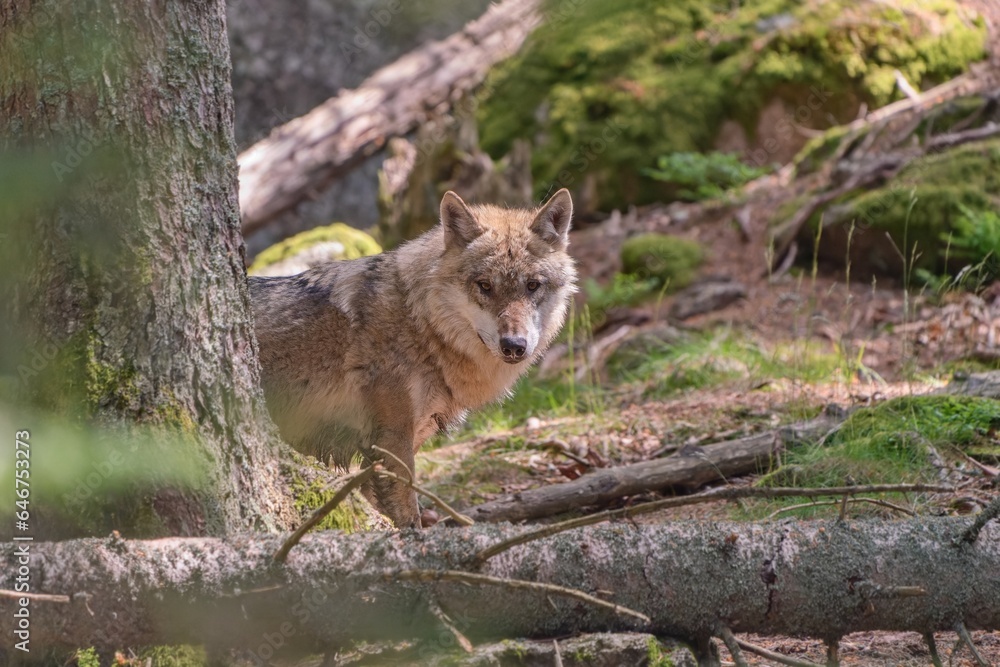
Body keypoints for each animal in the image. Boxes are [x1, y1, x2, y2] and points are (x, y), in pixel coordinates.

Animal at [250, 190, 580, 528]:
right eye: (485, 286)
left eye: (532, 285)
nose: (514, 345)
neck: (419, 323)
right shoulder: (393, 441)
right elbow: (408, 514)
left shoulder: (390, 448)